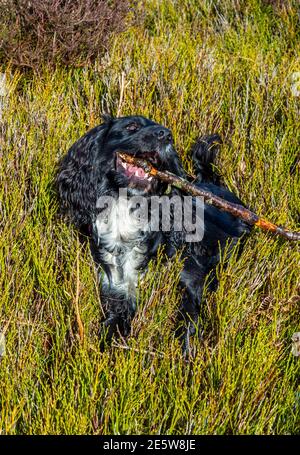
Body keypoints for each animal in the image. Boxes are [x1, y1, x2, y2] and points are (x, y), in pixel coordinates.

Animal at [56, 113, 251, 352]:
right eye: (131, 126)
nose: (166, 134)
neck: (126, 210)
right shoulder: (117, 291)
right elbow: (111, 326)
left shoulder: (190, 281)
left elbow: (187, 324)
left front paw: (184, 355)